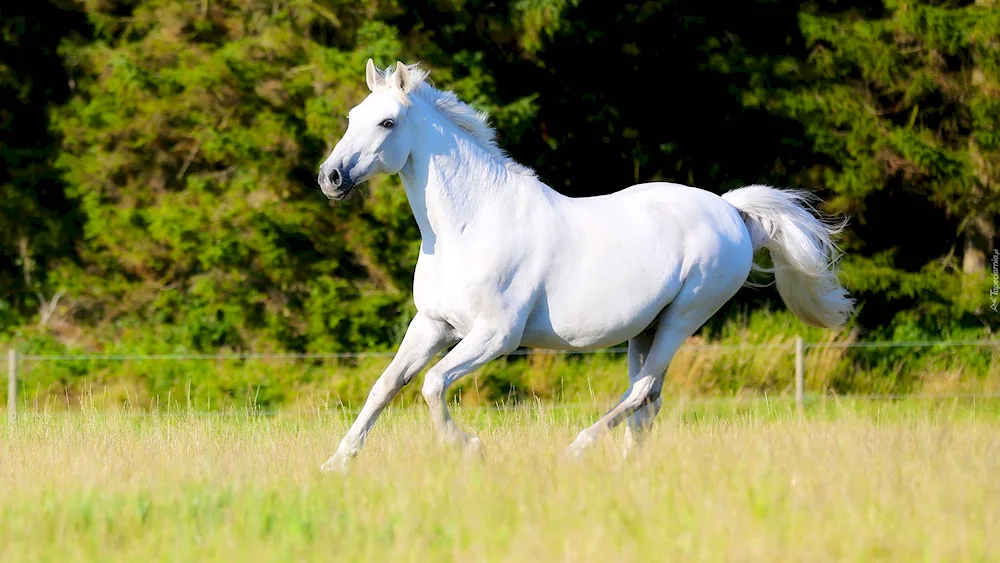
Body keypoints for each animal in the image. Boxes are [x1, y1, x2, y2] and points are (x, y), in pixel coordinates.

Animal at [316, 60, 856, 472]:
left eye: (387, 123)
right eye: (352, 116)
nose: (331, 177)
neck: (471, 226)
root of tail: (730, 210)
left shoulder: (495, 336)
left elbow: (431, 385)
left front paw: (469, 447)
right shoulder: (432, 324)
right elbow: (386, 386)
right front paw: (336, 462)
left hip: (684, 317)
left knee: (640, 392)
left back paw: (577, 449)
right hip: (648, 327)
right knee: (648, 400)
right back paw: (626, 468)